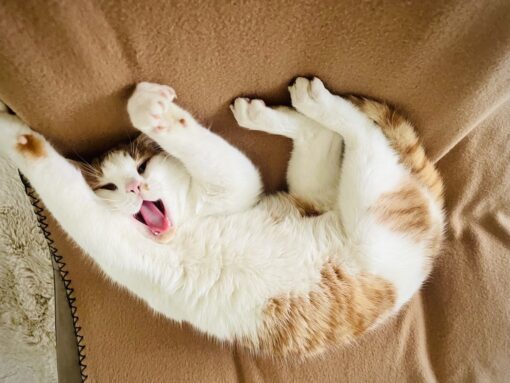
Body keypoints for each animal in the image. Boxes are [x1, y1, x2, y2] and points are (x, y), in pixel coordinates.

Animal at [0, 79, 442, 358]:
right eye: (109, 186)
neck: (182, 229)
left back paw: (314, 102)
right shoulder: (110, 240)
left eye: (142, 167)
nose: (135, 188)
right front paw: (9, 128)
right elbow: (59, 182)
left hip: (372, 204)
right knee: (328, 137)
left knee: (363, 133)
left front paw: (149, 109)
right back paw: (278, 110)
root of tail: (437, 221)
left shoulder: (237, 184)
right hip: (320, 192)